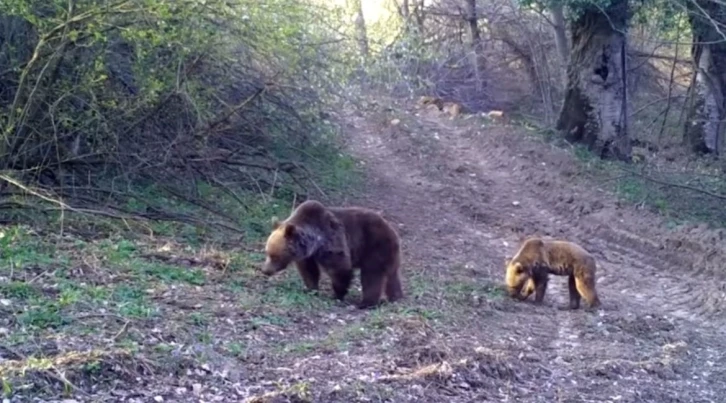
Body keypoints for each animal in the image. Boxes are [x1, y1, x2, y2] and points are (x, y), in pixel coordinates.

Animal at [260, 201, 404, 310]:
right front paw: (310, 289)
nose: (265, 270)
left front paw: (337, 294)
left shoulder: (332, 241)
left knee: (372, 275)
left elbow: (340, 267)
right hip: (389, 254)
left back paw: (366, 303)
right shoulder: (308, 255)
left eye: (275, 256)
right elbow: (309, 271)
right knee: (392, 276)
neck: (314, 243)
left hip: (375, 247)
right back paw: (395, 297)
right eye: (267, 252)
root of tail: (391, 229)